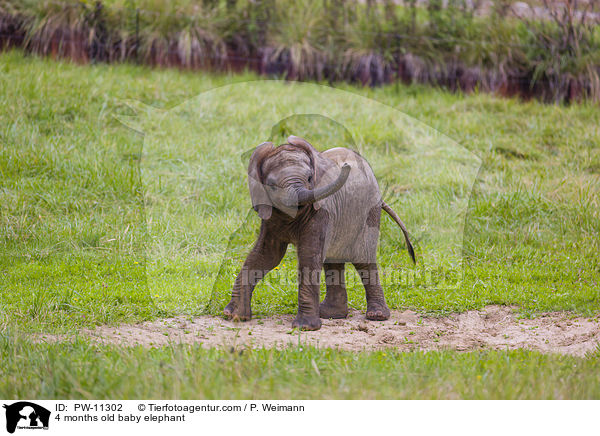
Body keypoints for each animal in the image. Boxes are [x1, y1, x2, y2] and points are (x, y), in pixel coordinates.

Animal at [223, 136, 414, 330]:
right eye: (271, 186)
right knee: (333, 261)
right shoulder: (270, 213)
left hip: (369, 214)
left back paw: (377, 316)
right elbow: (266, 256)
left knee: (363, 260)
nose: (346, 167)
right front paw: (233, 316)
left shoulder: (322, 211)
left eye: (309, 178)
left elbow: (308, 257)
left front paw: (304, 327)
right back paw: (332, 314)